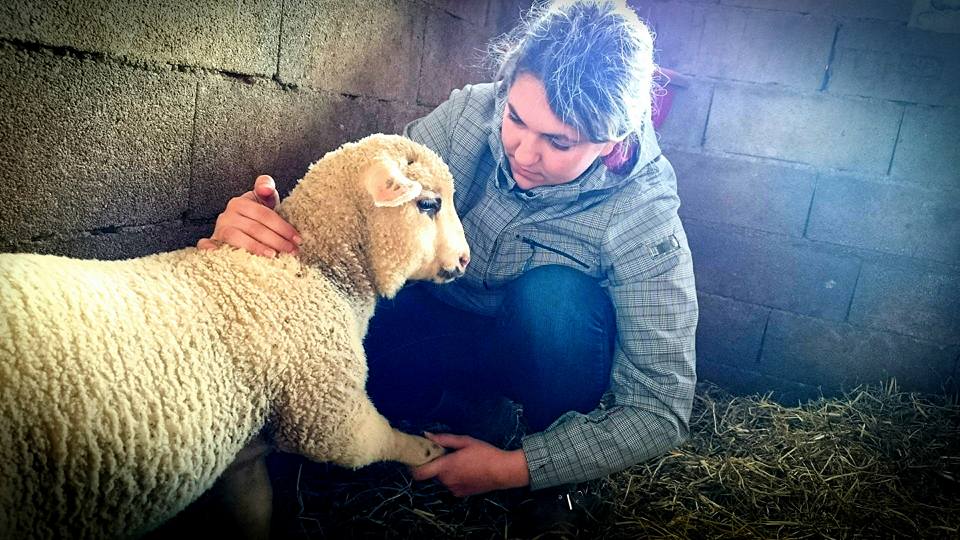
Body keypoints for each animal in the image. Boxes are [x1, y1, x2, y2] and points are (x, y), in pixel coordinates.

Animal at [0, 133, 470, 539]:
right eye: (428, 204)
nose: (465, 259)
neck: (316, 269)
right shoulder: (327, 408)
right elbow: (376, 442)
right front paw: (428, 451)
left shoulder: (246, 450)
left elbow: (254, 508)